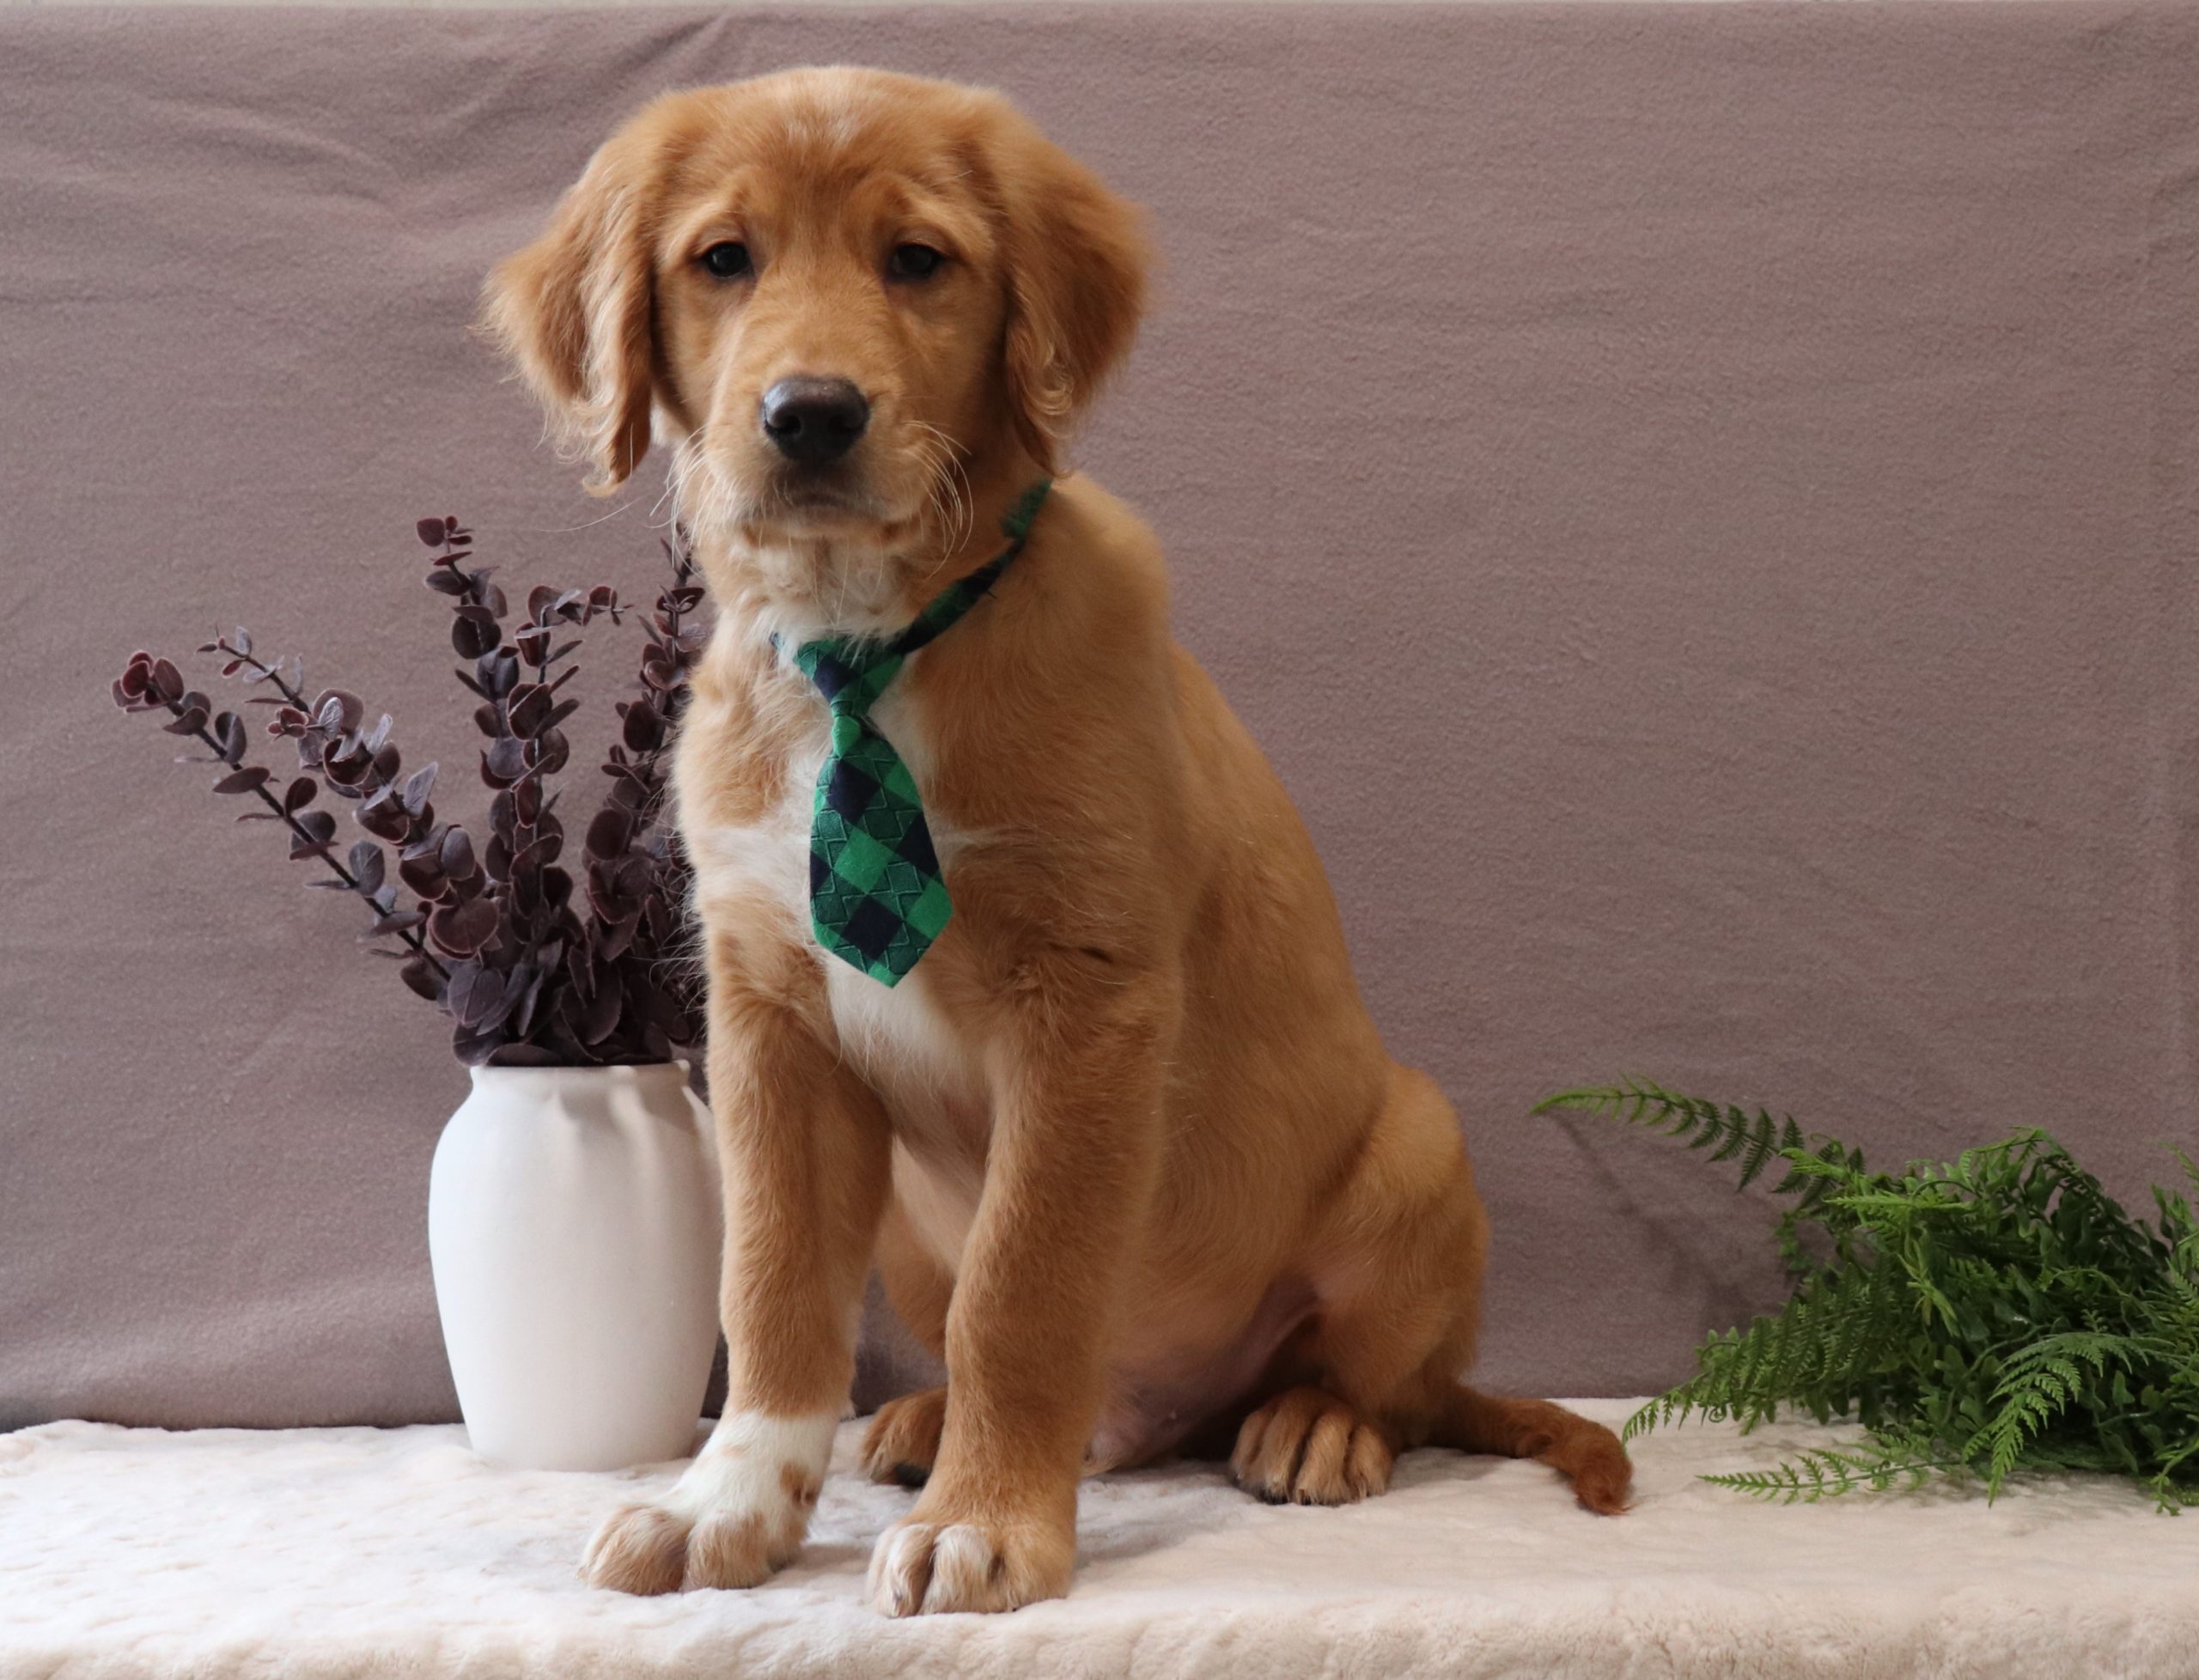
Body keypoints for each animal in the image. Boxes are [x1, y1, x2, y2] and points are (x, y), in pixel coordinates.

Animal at [485, 66, 1630, 1617]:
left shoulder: (1088, 1001)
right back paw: (919, 1422)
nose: (811, 414)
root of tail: (1160, 1416)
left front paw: (987, 1525)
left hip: (1416, 1143)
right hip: (909, 1227)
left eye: (918, 260)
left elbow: (1020, 1293)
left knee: (1395, 1385)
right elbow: (771, 1284)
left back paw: (1313, 1423)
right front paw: (726, 1499)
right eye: (723, 259)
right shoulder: (765, 1013)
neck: (866, 650)